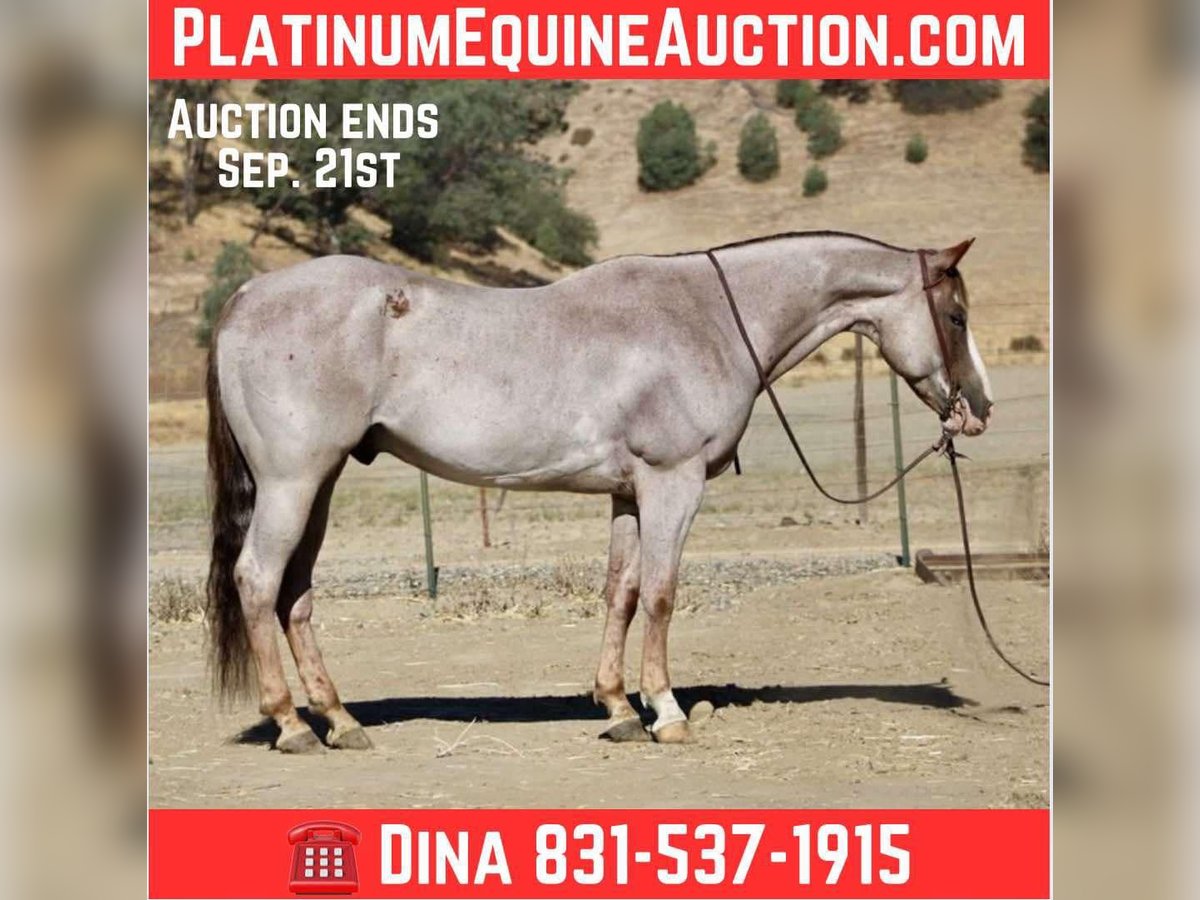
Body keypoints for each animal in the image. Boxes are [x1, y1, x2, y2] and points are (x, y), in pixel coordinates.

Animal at [204, 230, 992, 752]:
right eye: (956, 316)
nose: (978, 410)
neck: (705, 315)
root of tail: (245, 297)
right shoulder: (673, 483)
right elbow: (664, 594)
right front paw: (666, 712)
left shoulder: (629, 494)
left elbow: (622, 591)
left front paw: (616, 708)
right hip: (294, 482)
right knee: (259, 580)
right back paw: (290, 726)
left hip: (321, 484)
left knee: (295, 594)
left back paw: (340, 721)